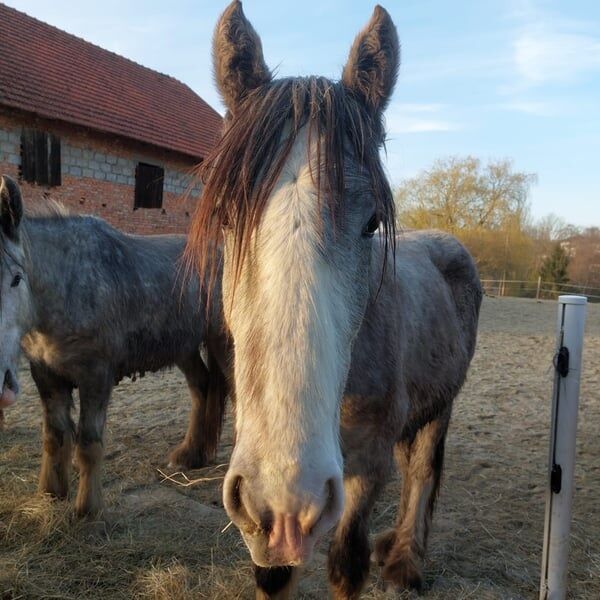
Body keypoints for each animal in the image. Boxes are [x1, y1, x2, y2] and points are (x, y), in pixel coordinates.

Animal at [0, 173, 229, 516]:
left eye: (16, 278)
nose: (2, 385)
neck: (68, 284)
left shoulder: (95, 375)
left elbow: (88, 443)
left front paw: (87, 510)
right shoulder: (46, 374)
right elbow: (54, 438)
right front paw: (50, 495)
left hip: (224, 342)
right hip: (184, 347)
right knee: (201, 387)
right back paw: (190, 456)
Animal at [188, 2, 482, 596]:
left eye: (371, 223)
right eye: (227, 217)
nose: (287, 492)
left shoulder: (366, 464)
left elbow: (347, 562)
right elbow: (272, 574)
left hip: (441, 405)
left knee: (422, 472)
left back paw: (405, 561)